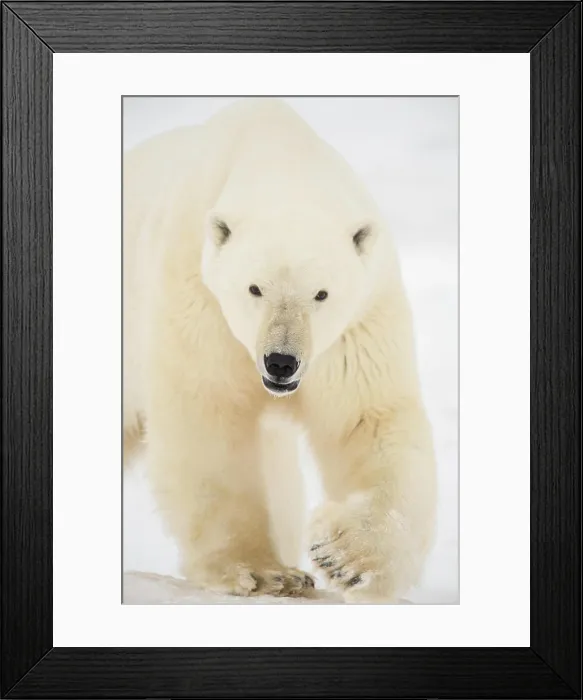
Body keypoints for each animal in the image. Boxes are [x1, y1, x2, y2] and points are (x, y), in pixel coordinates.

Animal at [123, 98, 436, 602]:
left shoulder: (356, 323)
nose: (281, 362)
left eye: (321, 294)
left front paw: (342, 556)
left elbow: (369, 419)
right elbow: (210, 417)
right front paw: (259, 570)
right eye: (255, 288)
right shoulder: (198, 297)